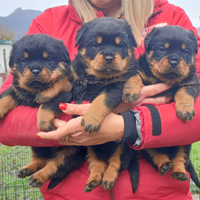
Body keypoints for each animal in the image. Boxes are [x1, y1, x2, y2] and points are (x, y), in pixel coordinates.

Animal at [0, 34, 87, 189]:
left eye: (49, 60)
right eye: (24, 60)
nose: (35, 70)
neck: (37, 89)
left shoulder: (65, 96)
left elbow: (47, 104)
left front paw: (43, 122)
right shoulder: (17, 90)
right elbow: (5, 96)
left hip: (70, 151)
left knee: (55, 164)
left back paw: (38, 176)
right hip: (37, 145)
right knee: (42, 159)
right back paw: (28, 168)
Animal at [69, 17, 141, 194]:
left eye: (120, 45)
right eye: (95, 44)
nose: (109, 56)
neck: (99, 78)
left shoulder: (116, 86)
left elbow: (100, 100)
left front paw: (90, 120)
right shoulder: (78, 82)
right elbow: (77, 98)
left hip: (123, 146)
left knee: (116, 162)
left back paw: (108, 179)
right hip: (91, 147)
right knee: (97, 162)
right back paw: (93, 180)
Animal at [137, 25, 200, 187]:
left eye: (185, 51)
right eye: (162, 49)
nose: (174, 60)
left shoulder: (191, 82)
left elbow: (184, 93)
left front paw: (185, 110)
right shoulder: (142, 73)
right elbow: (136, 78)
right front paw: (130, 90)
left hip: (184, 143)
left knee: (180, 158)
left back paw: (179, 173)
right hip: (146, 146)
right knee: (154, 153)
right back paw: (164, 164)